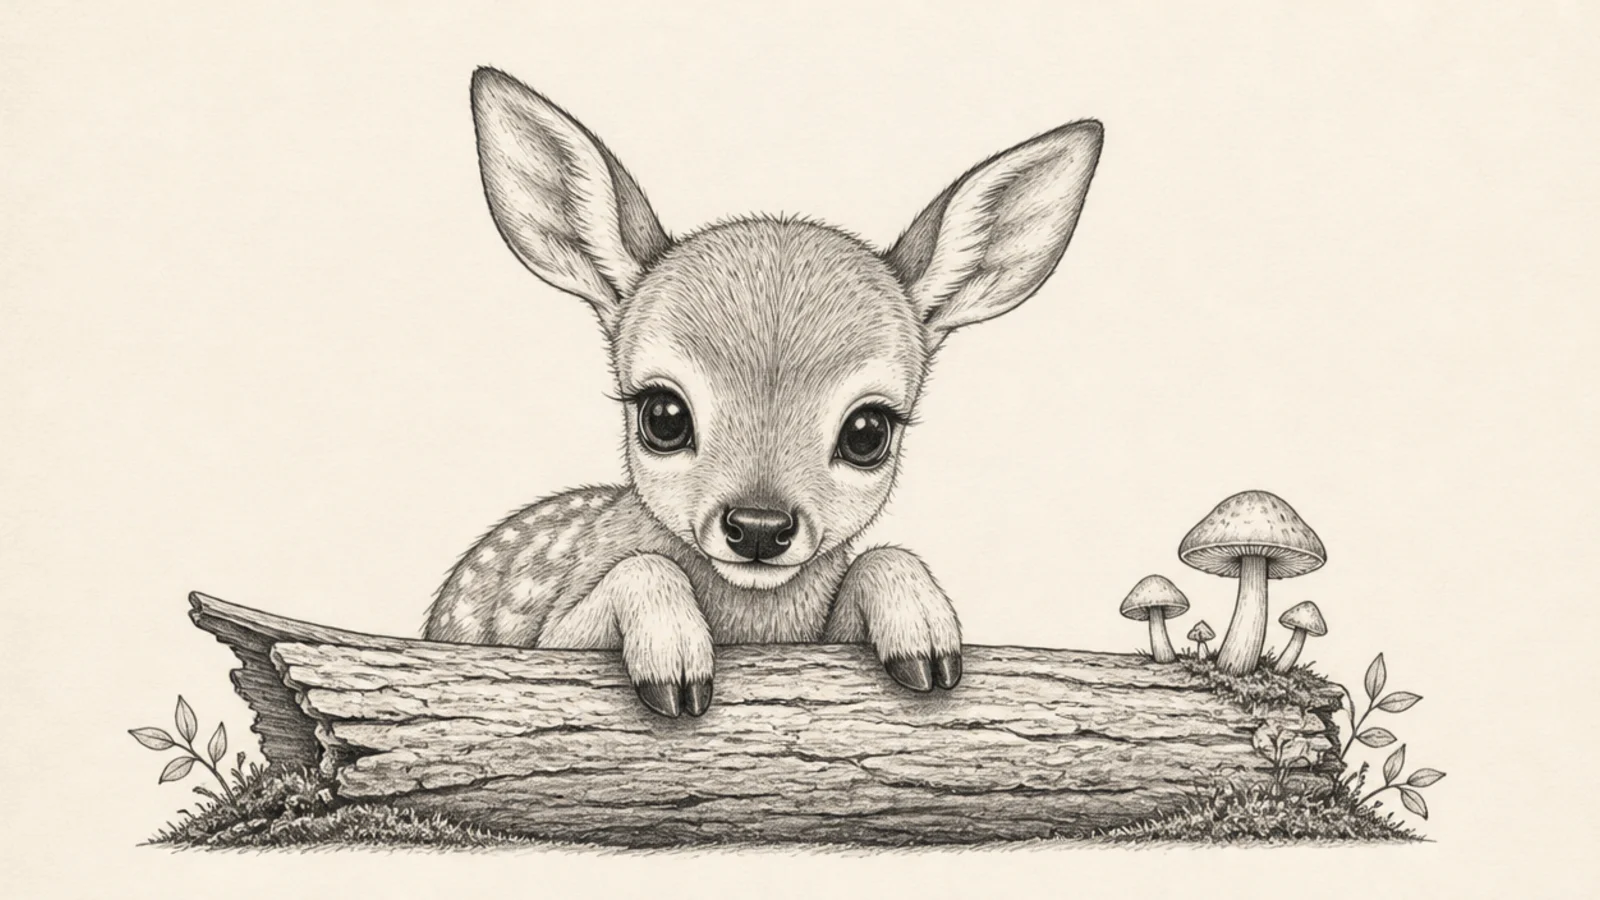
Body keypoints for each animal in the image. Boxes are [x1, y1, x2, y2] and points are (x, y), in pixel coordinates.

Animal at [423, 67, 1103, 718]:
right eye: (662, 415)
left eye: (868, 431)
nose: (756, 526)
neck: (755, 620)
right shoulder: (549, 641)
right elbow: (639, 571)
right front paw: (673, 661)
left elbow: (880, 559)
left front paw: (924, 638)